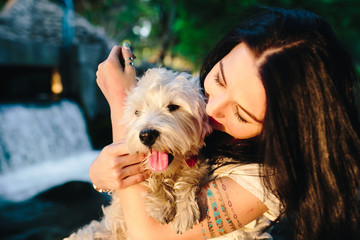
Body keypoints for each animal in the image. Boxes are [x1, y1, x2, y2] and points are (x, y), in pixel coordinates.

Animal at [65, 68, 211, 240]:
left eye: (173, 106)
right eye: (137, 112)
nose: (147, 135)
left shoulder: (198, 164)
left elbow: (189, 177)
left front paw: (184, 210)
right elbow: (151, 177)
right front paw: (160, 204)